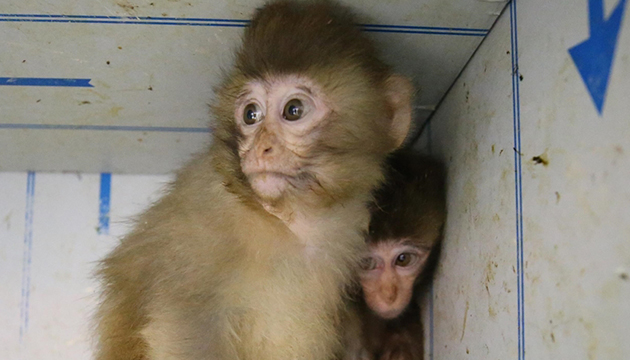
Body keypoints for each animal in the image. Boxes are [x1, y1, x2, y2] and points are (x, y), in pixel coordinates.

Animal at [95, 2, 414, 360]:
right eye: (251, 114)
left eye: (293, 110)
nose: (261, 148)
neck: (286, 222)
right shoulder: (199, 226)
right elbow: (183, 326)